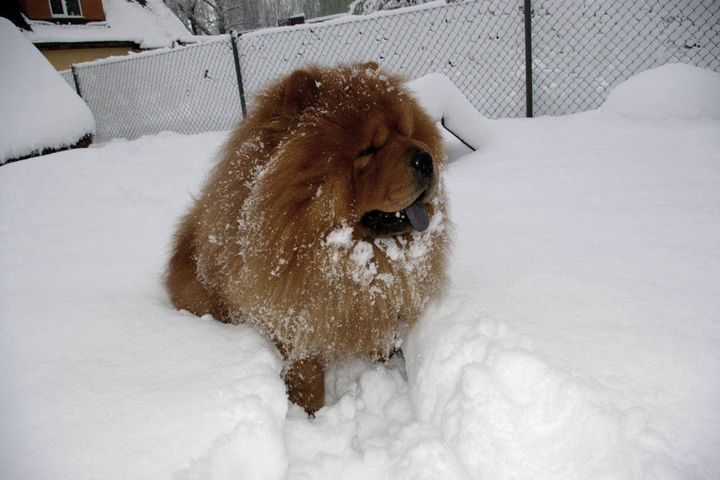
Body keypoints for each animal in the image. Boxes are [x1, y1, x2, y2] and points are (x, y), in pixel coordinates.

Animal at [169, 62, 450, 414]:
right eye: (368, 150)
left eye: (408, 133)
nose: (425, 158)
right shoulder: (293, 318)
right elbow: (305, 370)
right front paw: (310, 412)